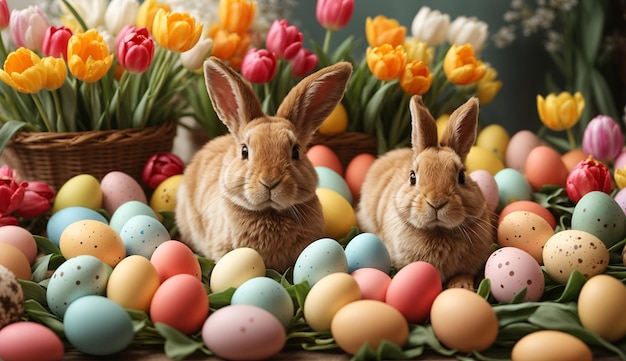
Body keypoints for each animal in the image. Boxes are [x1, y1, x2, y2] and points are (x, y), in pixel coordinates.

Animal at [356, 95, 492, 286]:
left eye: (461, 176)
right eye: (412, 177)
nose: (436, 202)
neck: (438, 231)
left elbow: (463, 274)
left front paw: (461, 286)